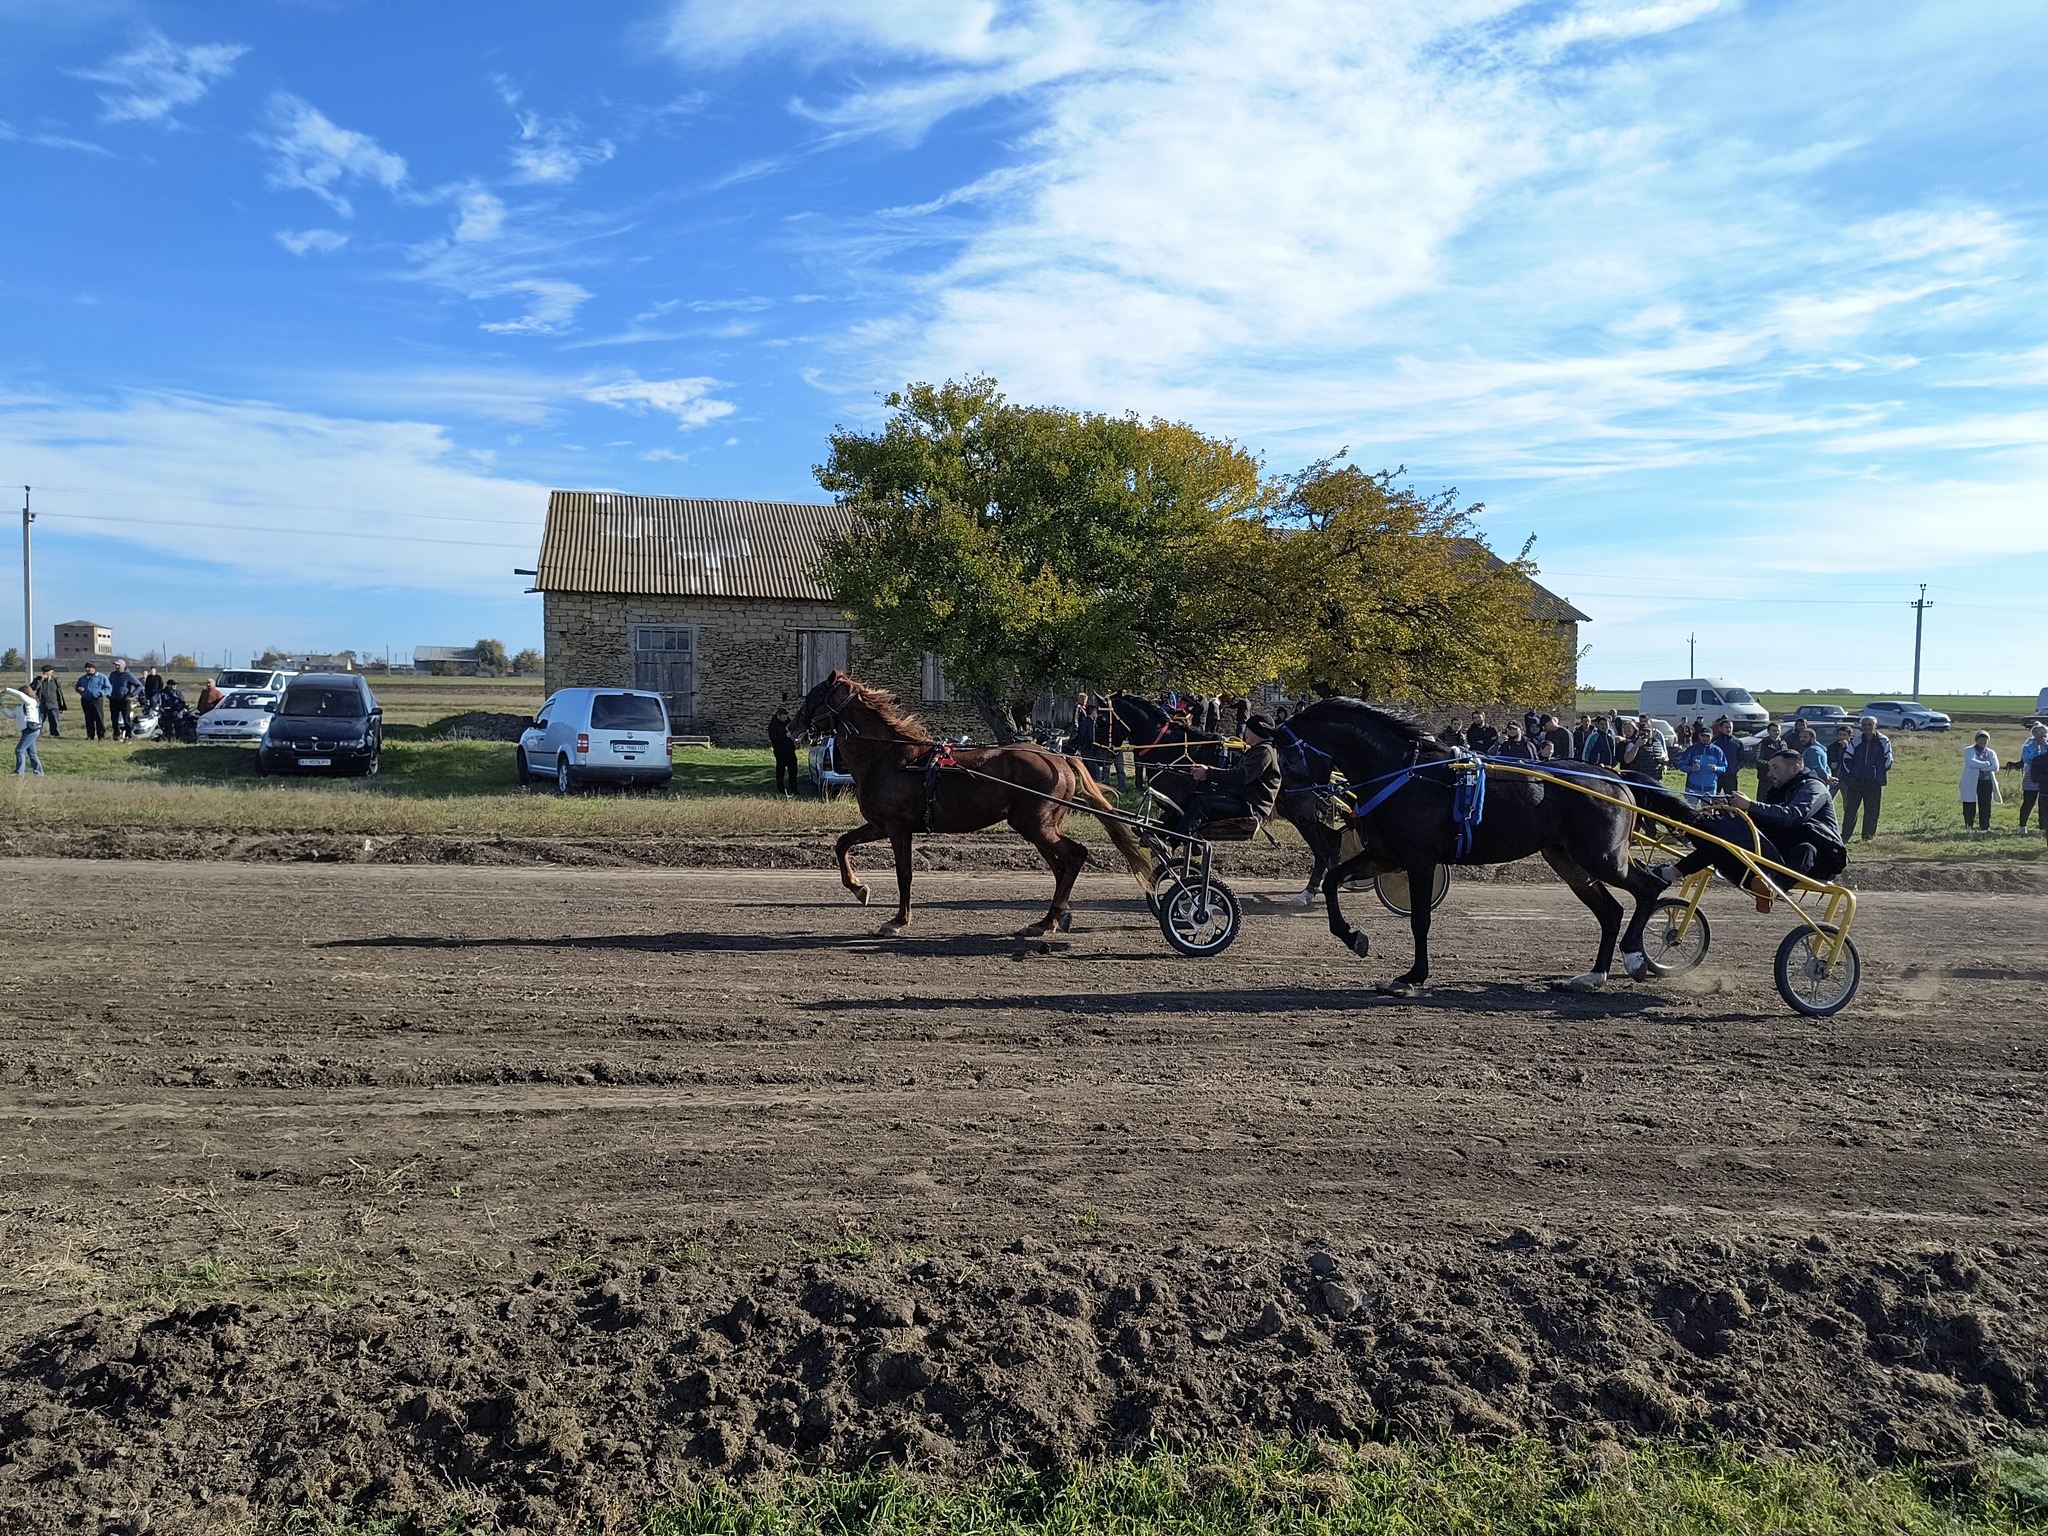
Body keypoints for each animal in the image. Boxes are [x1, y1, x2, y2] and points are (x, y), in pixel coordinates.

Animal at [790, 671, 1155, 937]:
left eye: (813, 697)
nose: (792, 727)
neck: (889, 757)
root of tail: (1059, 757)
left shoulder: (897, 827)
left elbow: (904, 874)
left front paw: (897, 920)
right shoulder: (880, 825)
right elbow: (841, 843)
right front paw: (858, 888)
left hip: (1035, 824)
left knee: (1074, 856)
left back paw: (1050, 919)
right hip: (1039, 826)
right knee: (1060, 866)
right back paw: (1049, 919)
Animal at [1105, 692, 1343, 897]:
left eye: (1102, 718)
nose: (1103, 750)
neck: (1172, 748)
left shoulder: (1180, 798)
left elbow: (1182, 831)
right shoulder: (1177, 804)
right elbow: (1174, 825)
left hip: (1300, 815)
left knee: (1323, 850)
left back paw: (1309, 891)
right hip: (1303, 816)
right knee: (1330, 845)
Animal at [1294, 696, 1695, 999]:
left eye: (1287, 750)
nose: (1303, 805)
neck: (1402, 773)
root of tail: (1613, 776)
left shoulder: (1420, 861)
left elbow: (1420, 920)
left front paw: (1413, 976)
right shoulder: (1385, 857)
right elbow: (1332, 880)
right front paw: (1352, 937)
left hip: (1602, 856)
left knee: (1650, 887)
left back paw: (1635, 956)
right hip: (1568, 859)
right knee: (1611, 911)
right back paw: (1593, 976)